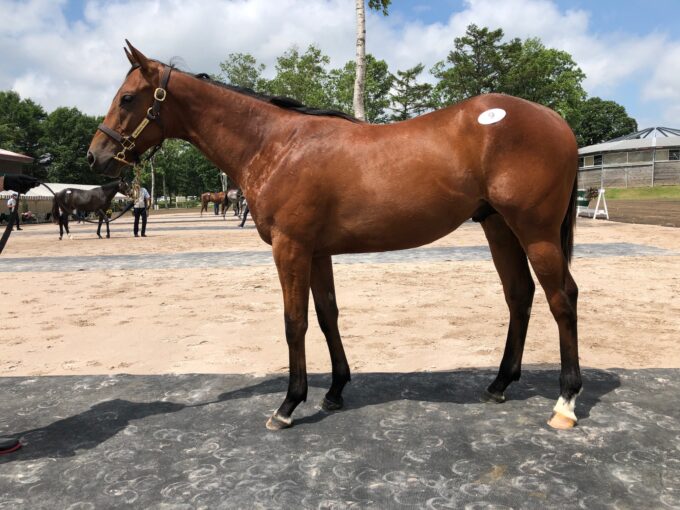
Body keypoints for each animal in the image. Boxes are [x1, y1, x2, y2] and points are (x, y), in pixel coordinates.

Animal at [87, 43, 580, 432]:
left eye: (127, 97)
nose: (96, 156)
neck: (276, 145)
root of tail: (554, 118)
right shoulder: (316, 251)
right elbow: (327, 316)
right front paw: (335, 390)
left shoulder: (290, 247)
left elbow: (295, 322)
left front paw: (288, 404)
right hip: (499, 227)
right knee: (519, 295)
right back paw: (499, 384)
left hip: (535, 231)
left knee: (562, 297)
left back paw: (566, 402)